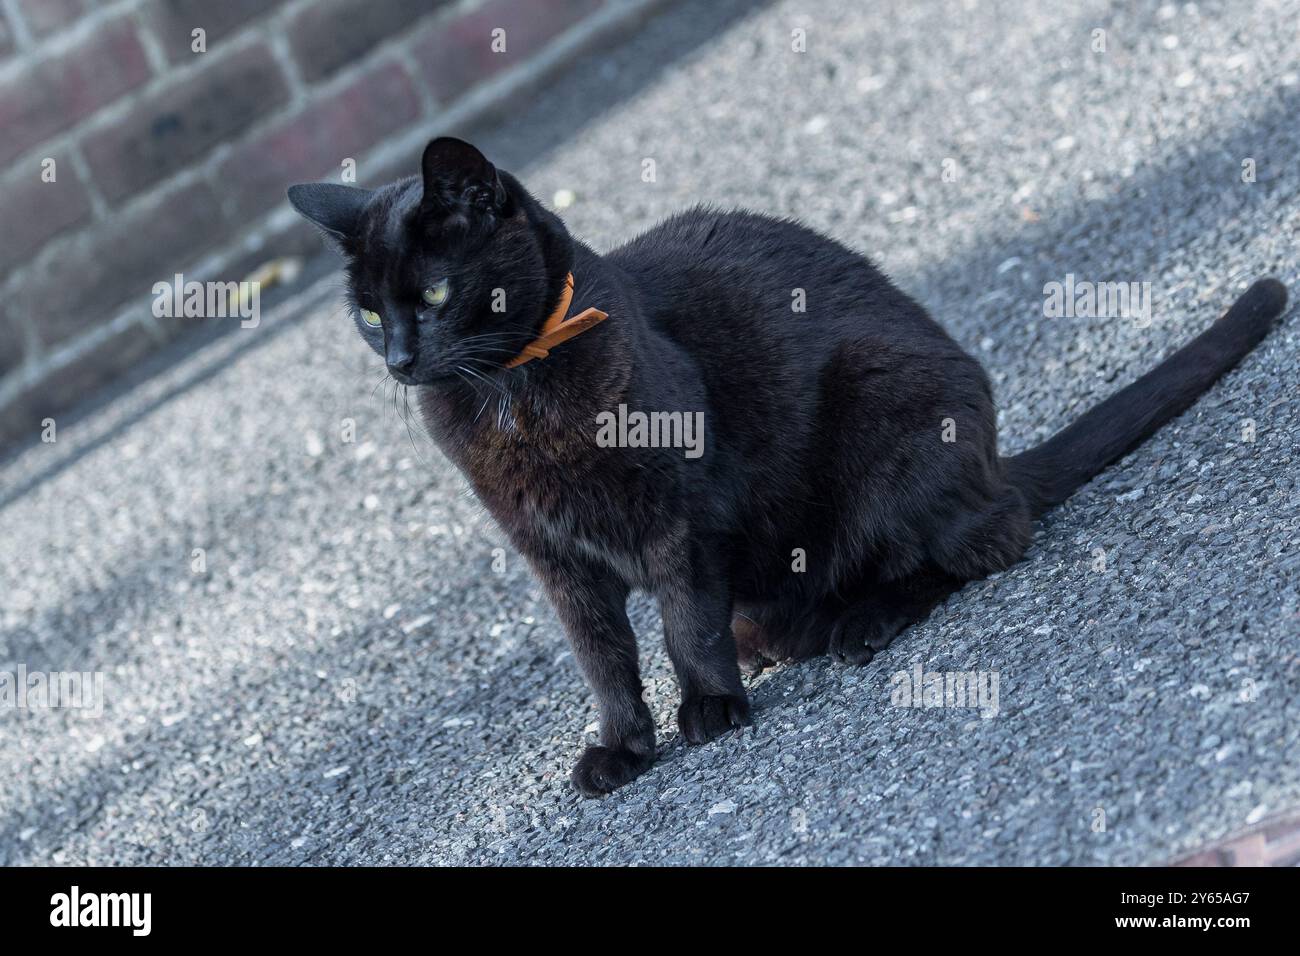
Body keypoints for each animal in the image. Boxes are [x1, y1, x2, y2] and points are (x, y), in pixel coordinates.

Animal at [292, 134, 1289, 790]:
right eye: (369, 314)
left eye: (432, 293)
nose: (399, 360)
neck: (514, 390)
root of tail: (1000, 459)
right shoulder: (555, 560)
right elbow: (604, 659)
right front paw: (623, 749)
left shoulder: (680, 520)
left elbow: (685, 625)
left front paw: (709, 713)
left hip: (889, 405)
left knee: (984, 544)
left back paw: (864, 621)